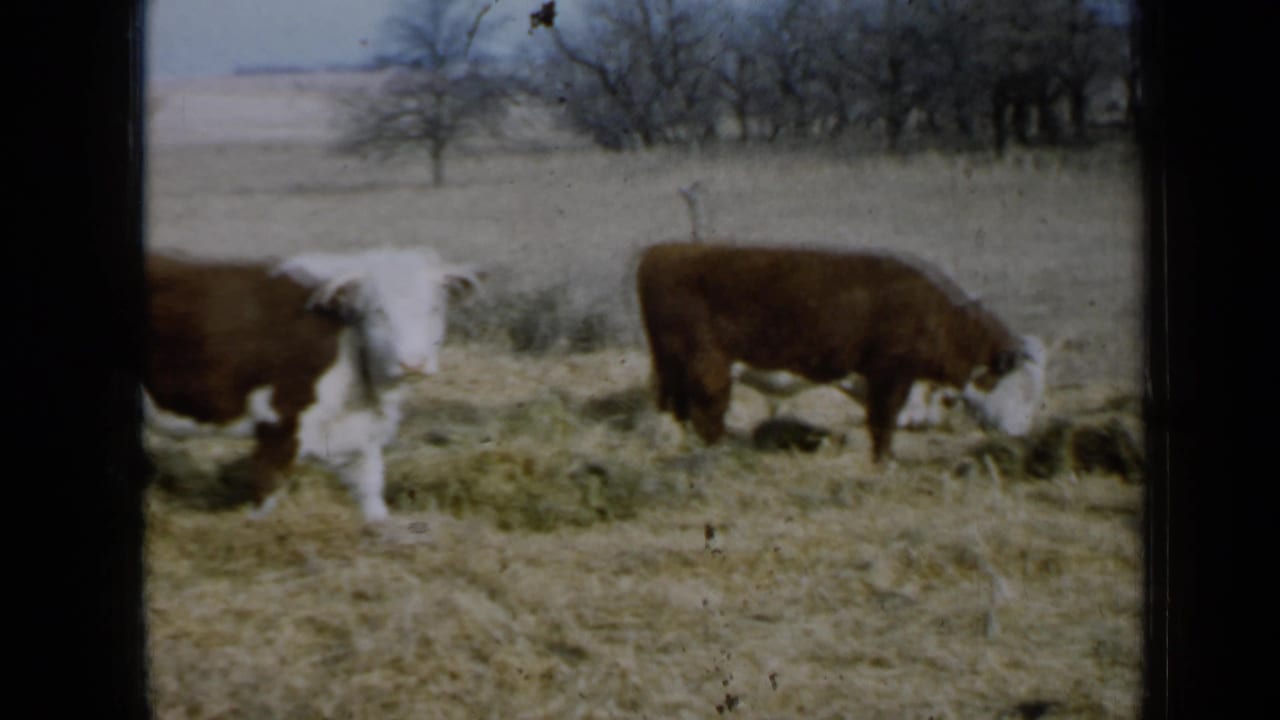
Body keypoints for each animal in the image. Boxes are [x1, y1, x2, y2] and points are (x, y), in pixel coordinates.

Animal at [143, 247, 481, 522]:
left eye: (434, 309)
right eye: (377, 312)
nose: (413, 363)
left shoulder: (360, 433)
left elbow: (372, 492)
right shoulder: (280, 423)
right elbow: (267, 494)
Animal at [636, 242, 1046, 461]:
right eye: (1021, 388)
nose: (1021, 433)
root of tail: (665, 251)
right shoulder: (889, 374)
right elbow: (882, 422)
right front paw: (883, 462)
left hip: (675, 369)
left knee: (677, 412)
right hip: (707, 368)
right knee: (707, 416)